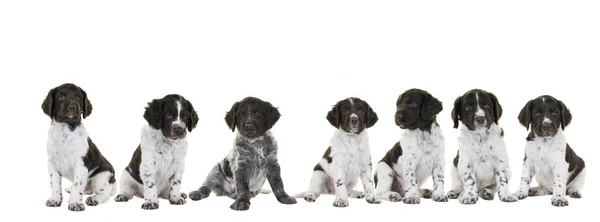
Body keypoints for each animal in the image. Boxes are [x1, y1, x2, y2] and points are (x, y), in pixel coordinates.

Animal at [42, 83, 117, 212]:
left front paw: (75, 203)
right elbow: (55, 184)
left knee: (104, 194)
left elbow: (78, 185)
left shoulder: (81, 164)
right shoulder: (52, 163)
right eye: (61, 97)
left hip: (102, 176)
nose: (72, 107)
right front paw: (55, 199)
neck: (64, 129)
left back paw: (94, 199)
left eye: (78, 97)